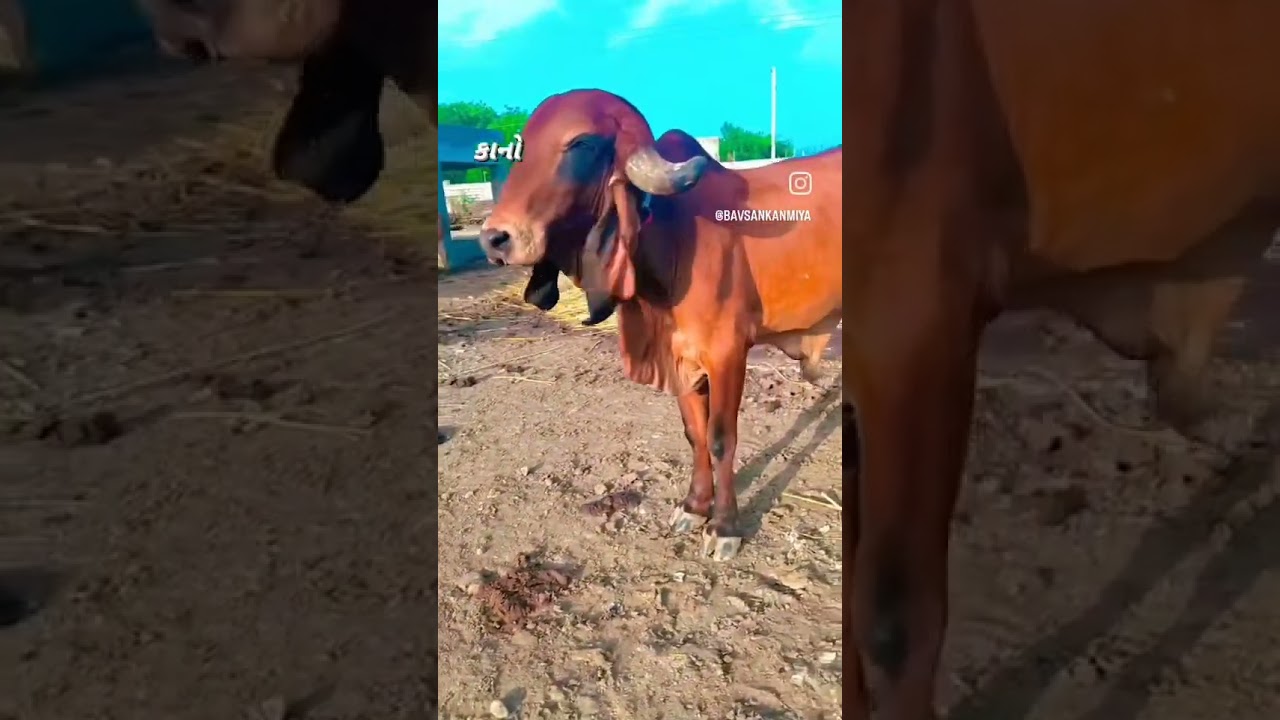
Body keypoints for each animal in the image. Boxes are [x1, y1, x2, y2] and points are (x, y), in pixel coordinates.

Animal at [477, 88, 843, 563]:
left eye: (581, 145)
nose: (494, 239)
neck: (673, 239)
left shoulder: (727, 354)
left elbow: (721, 438)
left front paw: (724, 526)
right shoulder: (680, 358)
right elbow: (695, 434)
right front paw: (695, 506)